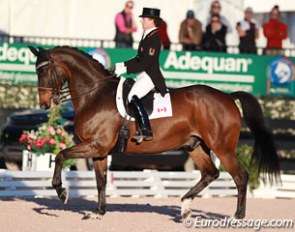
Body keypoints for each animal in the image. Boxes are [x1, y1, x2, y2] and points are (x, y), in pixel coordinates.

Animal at [28, 45, 280, 219]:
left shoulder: (96, 145)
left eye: (45, 71)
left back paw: (237, 216)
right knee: (211, 173)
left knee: (240, 176)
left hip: (222, 147)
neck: (95, 95)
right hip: (195, 145)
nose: (44, 104)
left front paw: (61, 192)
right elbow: (100, 182)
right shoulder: (99, 151)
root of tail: (227, 97)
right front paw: (98, 212)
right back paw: (185, 206)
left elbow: (60, 155)